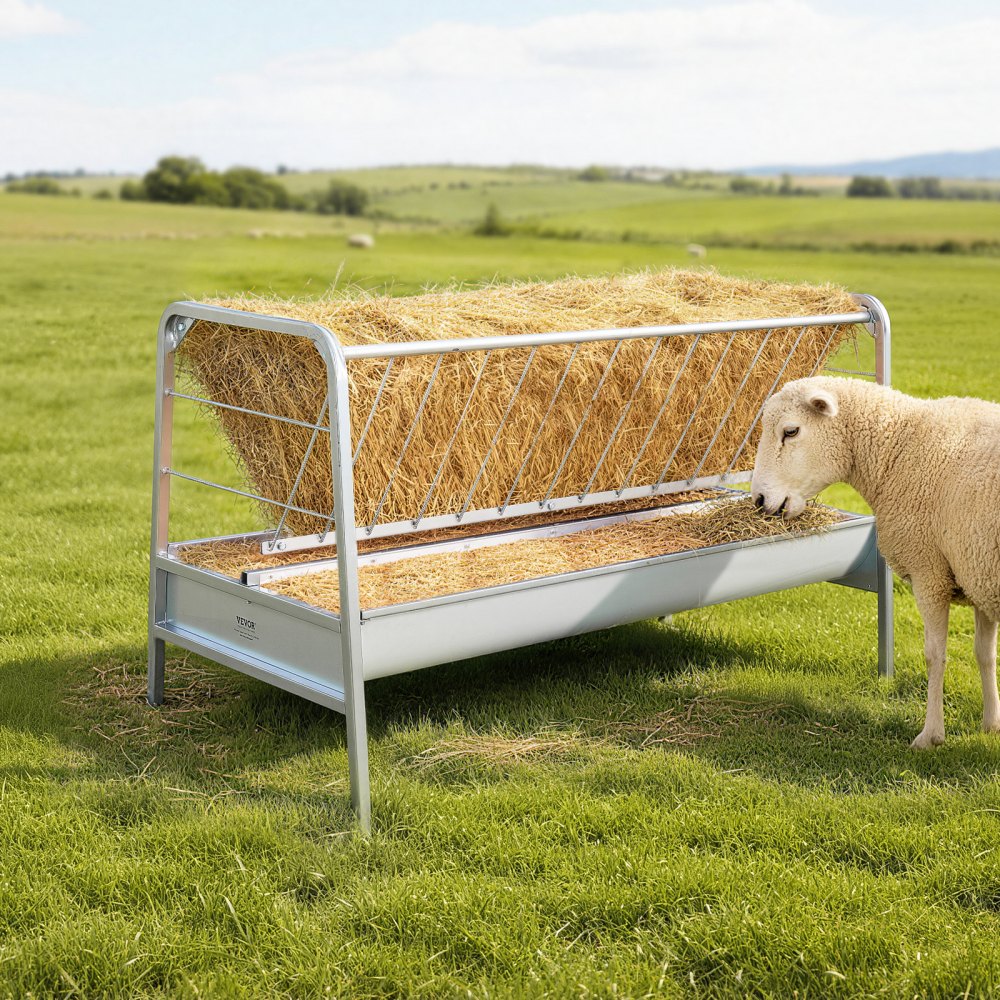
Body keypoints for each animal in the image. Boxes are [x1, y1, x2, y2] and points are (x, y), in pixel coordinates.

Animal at [751, 375, 1000, 749]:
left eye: (790, 431)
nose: (759, 499)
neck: (897, 449)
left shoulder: (929, 570)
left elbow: (934, 656)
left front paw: (930, 735)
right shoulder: (975, 570)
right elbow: (984, 653)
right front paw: (991, 724)